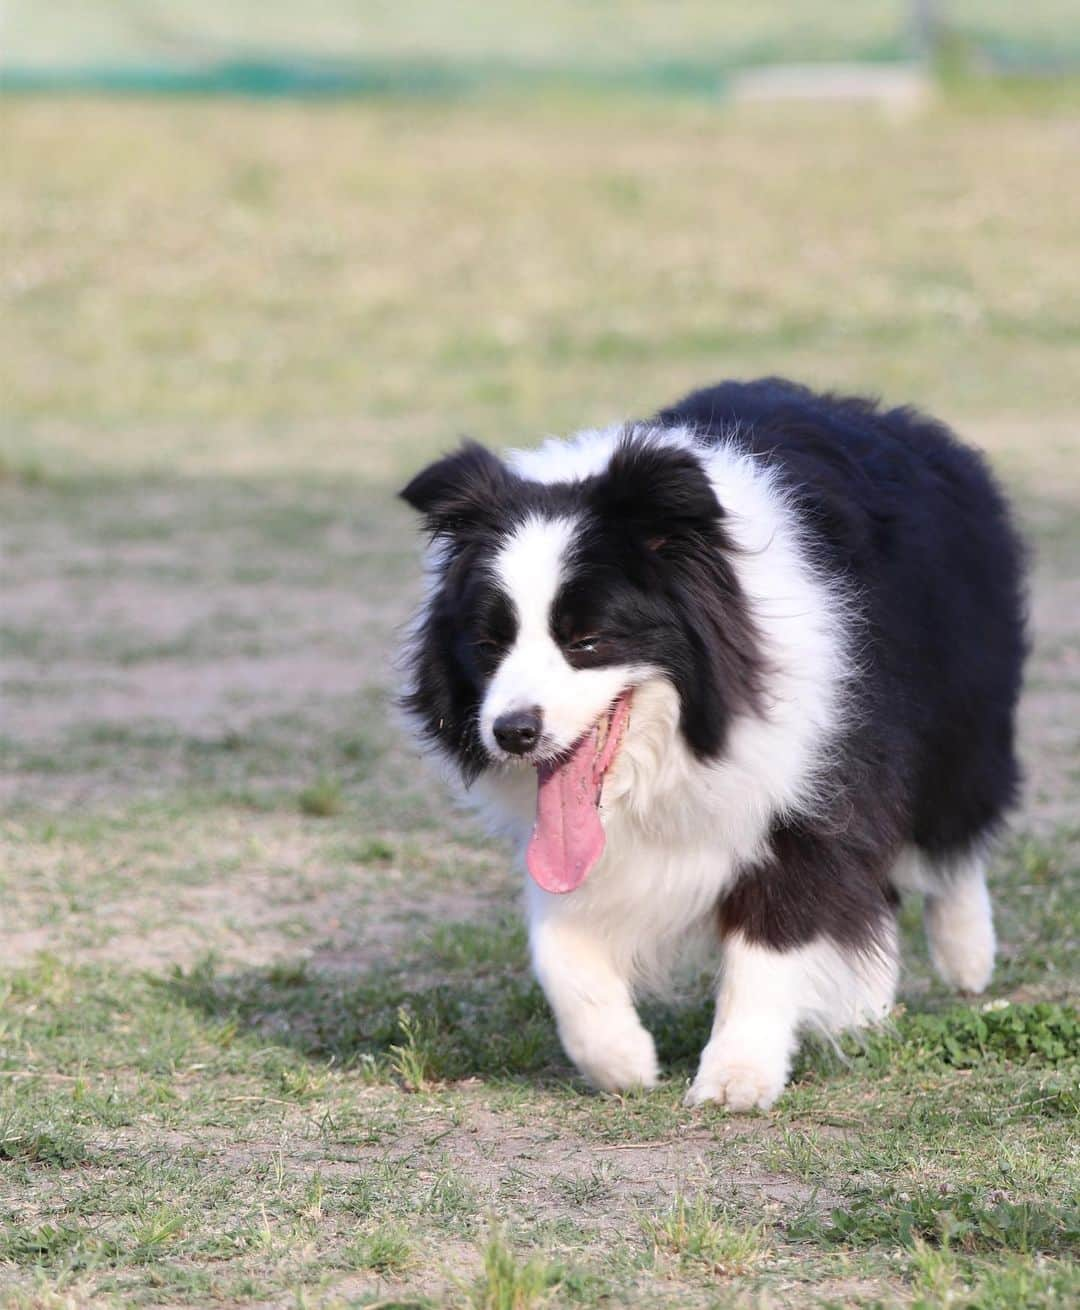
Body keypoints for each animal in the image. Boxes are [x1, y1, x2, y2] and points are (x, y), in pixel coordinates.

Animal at [401, 377, 1027, 1105]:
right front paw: (620, 1059)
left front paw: (736, 1077)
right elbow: (557, 934)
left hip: (960, 696)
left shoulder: (809, 766)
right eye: (487, 644)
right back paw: (864, 1008)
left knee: (953, 823)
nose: (513, 732)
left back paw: (966, 958)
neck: (680, 748)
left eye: (586, 640)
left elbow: (777, 927)